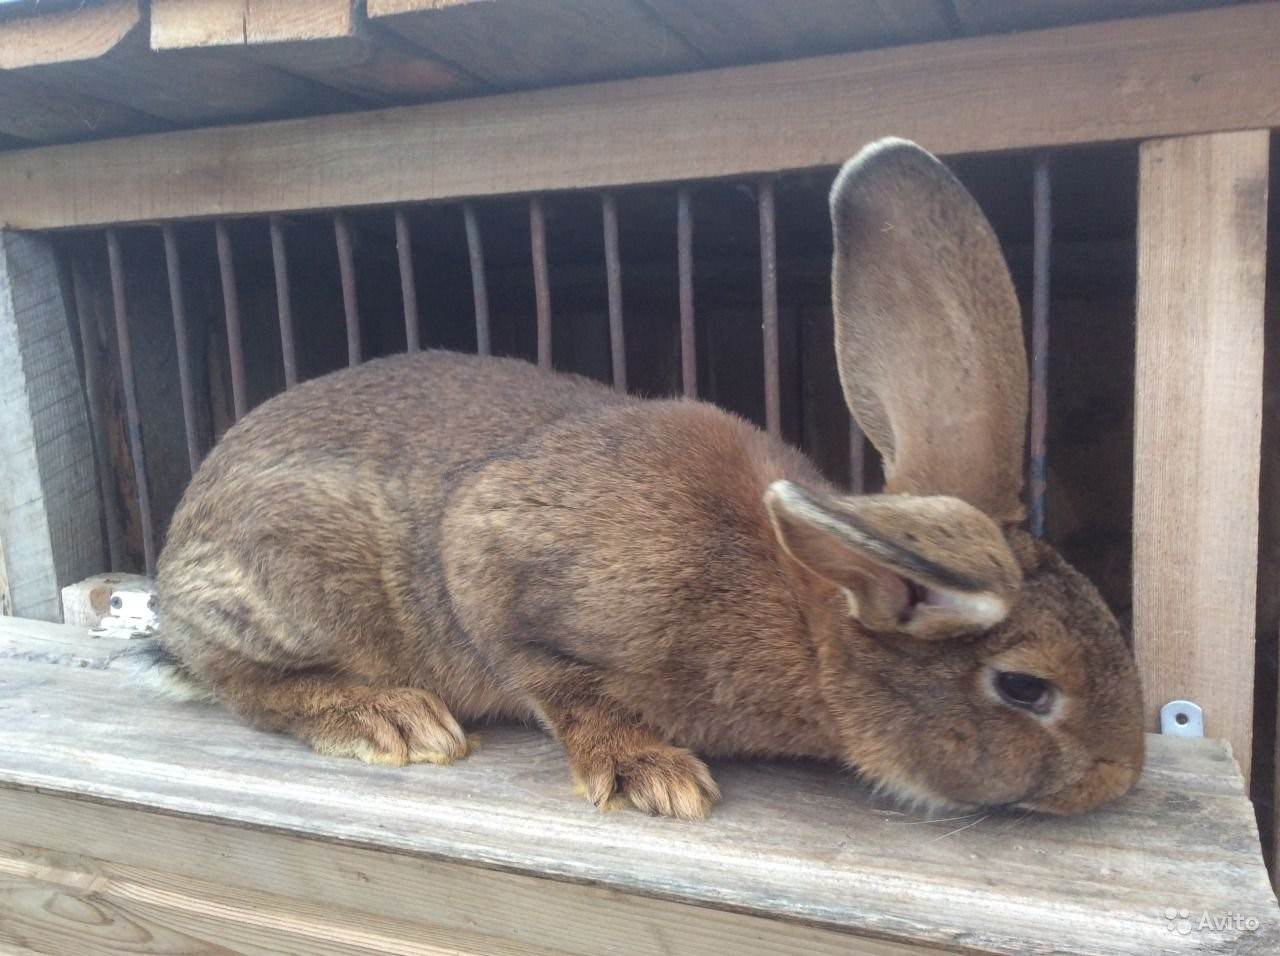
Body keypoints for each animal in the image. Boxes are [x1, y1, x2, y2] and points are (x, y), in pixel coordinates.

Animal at [145, 136, 1146, 824]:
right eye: (1026, 689)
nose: (1122, 775)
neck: (808, 619)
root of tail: (177, 551)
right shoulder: (499, 564)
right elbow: (555, 681)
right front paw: (647, 773)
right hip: (292, 579)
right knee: (241, 682)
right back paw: (388, 719)